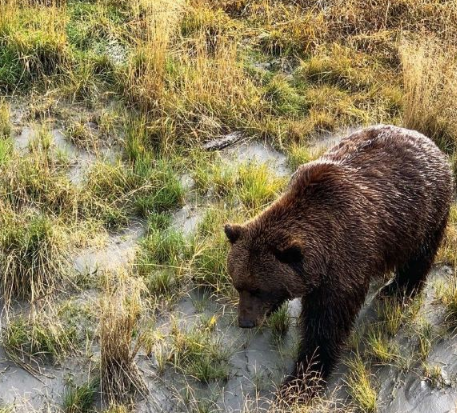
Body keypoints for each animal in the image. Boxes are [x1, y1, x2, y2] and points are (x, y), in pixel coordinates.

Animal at [223, 124, 450, 396]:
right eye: (238, 285)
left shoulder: (345, 258)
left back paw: (398, 289)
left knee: (419, 257)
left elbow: (325, 326)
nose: (245, 322)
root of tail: (429, 141)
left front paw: (303, 380)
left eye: (259, 289)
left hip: (423, 213)